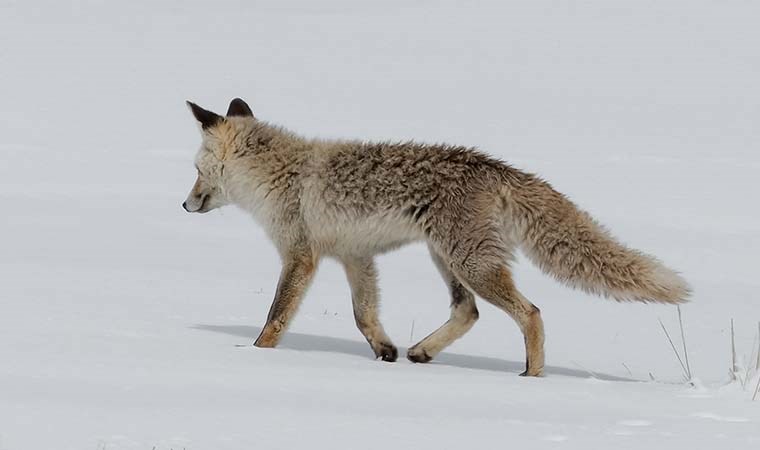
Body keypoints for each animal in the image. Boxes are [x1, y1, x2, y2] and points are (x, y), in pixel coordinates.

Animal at [183, 97, 688, 376]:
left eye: (195, 169)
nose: (185, 205)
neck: (280, 174)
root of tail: (494, 166)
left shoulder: (301, 256)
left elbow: (274, 318)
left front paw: (256, 357)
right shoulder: (354, 256)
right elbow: (364, 317)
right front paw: (384, 352)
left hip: (468, 262)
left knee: (531, 313)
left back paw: (532, 377)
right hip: (446, 259)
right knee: (469, 312)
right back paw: (422, 352)